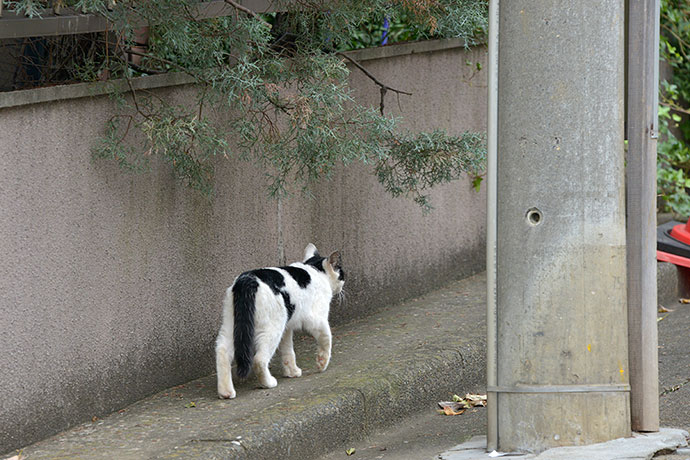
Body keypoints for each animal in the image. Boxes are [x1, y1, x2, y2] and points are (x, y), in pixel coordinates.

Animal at [215, 244, 344, 398]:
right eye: (342, 274)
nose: (342, 287)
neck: (316, 269)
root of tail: (248, 280)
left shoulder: (287, 328)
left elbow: (288, 350)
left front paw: (292, 371)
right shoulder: (317, 320)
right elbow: (327, 338)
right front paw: (322, 363)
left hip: (233, 325)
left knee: (222, 351)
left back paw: (226, 392)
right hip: (272, 329)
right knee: (259, 359)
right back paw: (268, 383)